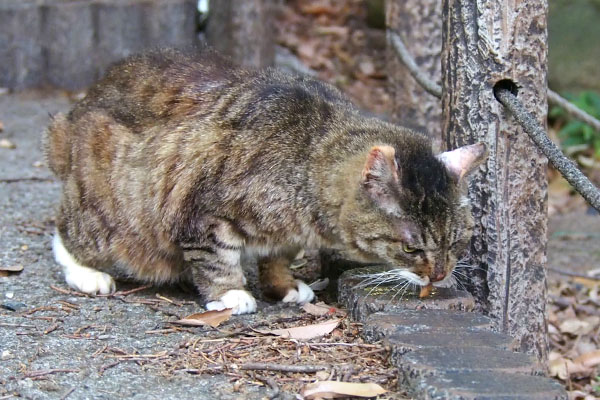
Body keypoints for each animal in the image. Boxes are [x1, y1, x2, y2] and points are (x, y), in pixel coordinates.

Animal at [45, 48, 488, 314]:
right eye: (412, 248)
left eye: (456, 243)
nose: (439, 275)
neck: (309, 157)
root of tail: (73, 113)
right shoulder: (201, 214)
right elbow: (216, 259)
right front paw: (230, 293)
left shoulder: (288, 234)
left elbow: (277, 257)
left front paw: (284, 286)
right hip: (109, 213)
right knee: (66, 233)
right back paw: (88, 273)